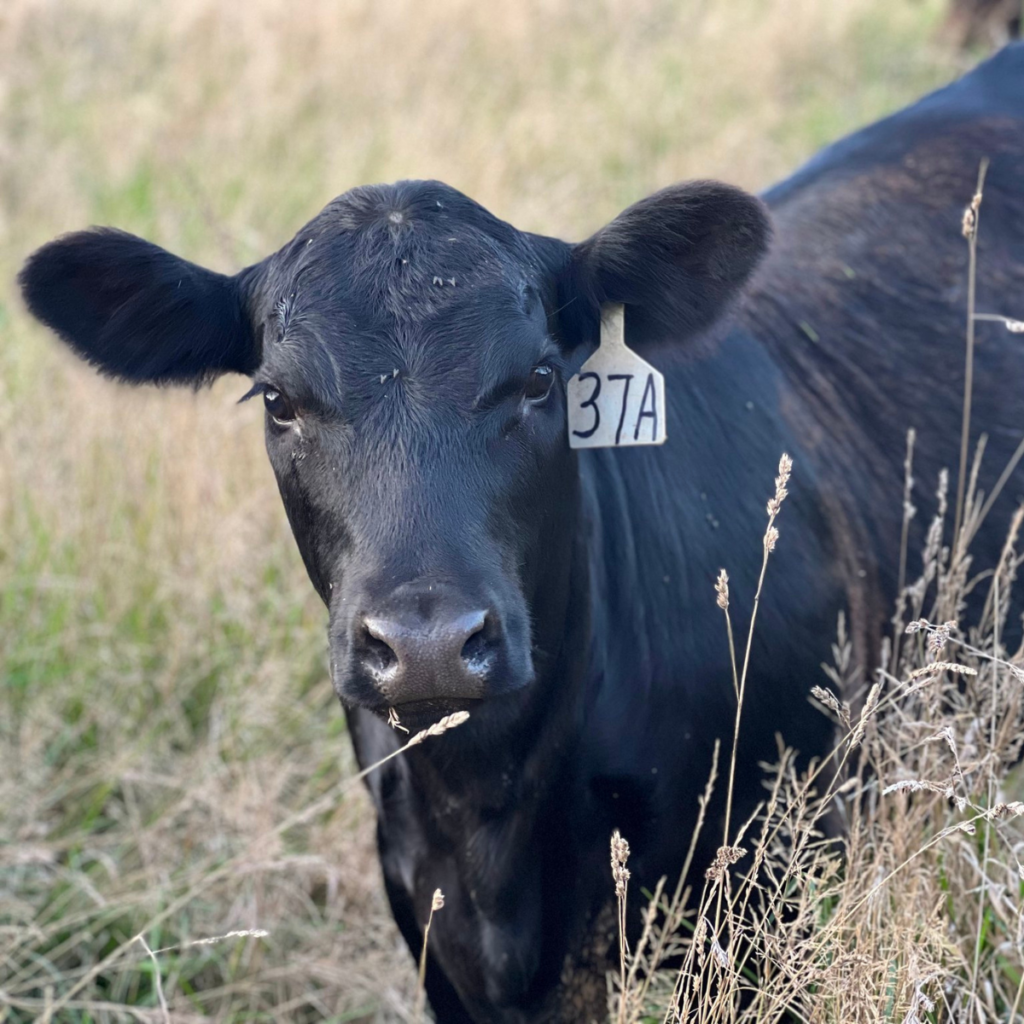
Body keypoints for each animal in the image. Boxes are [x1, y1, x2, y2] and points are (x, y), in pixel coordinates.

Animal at [18, 44, 1024, 1024]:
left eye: (542, 380)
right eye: (277, 400)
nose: (427, 644)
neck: (492, 819)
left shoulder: (774, 885)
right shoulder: (427, 919)